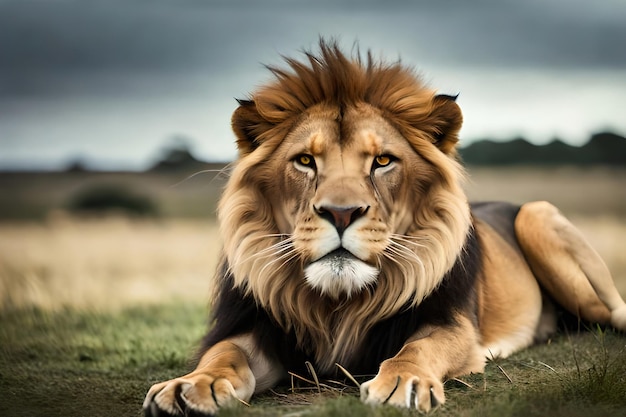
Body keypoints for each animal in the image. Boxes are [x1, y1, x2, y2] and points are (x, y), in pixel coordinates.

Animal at [143, 41, 624, 412]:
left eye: (382, 161)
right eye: (305, 160)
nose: (340, 213)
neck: (338, 304)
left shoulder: (451, 325)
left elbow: (417, 349)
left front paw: (403, 382)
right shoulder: (254, 330)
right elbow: (222, 355)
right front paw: (190, 386)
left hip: (537, 216)